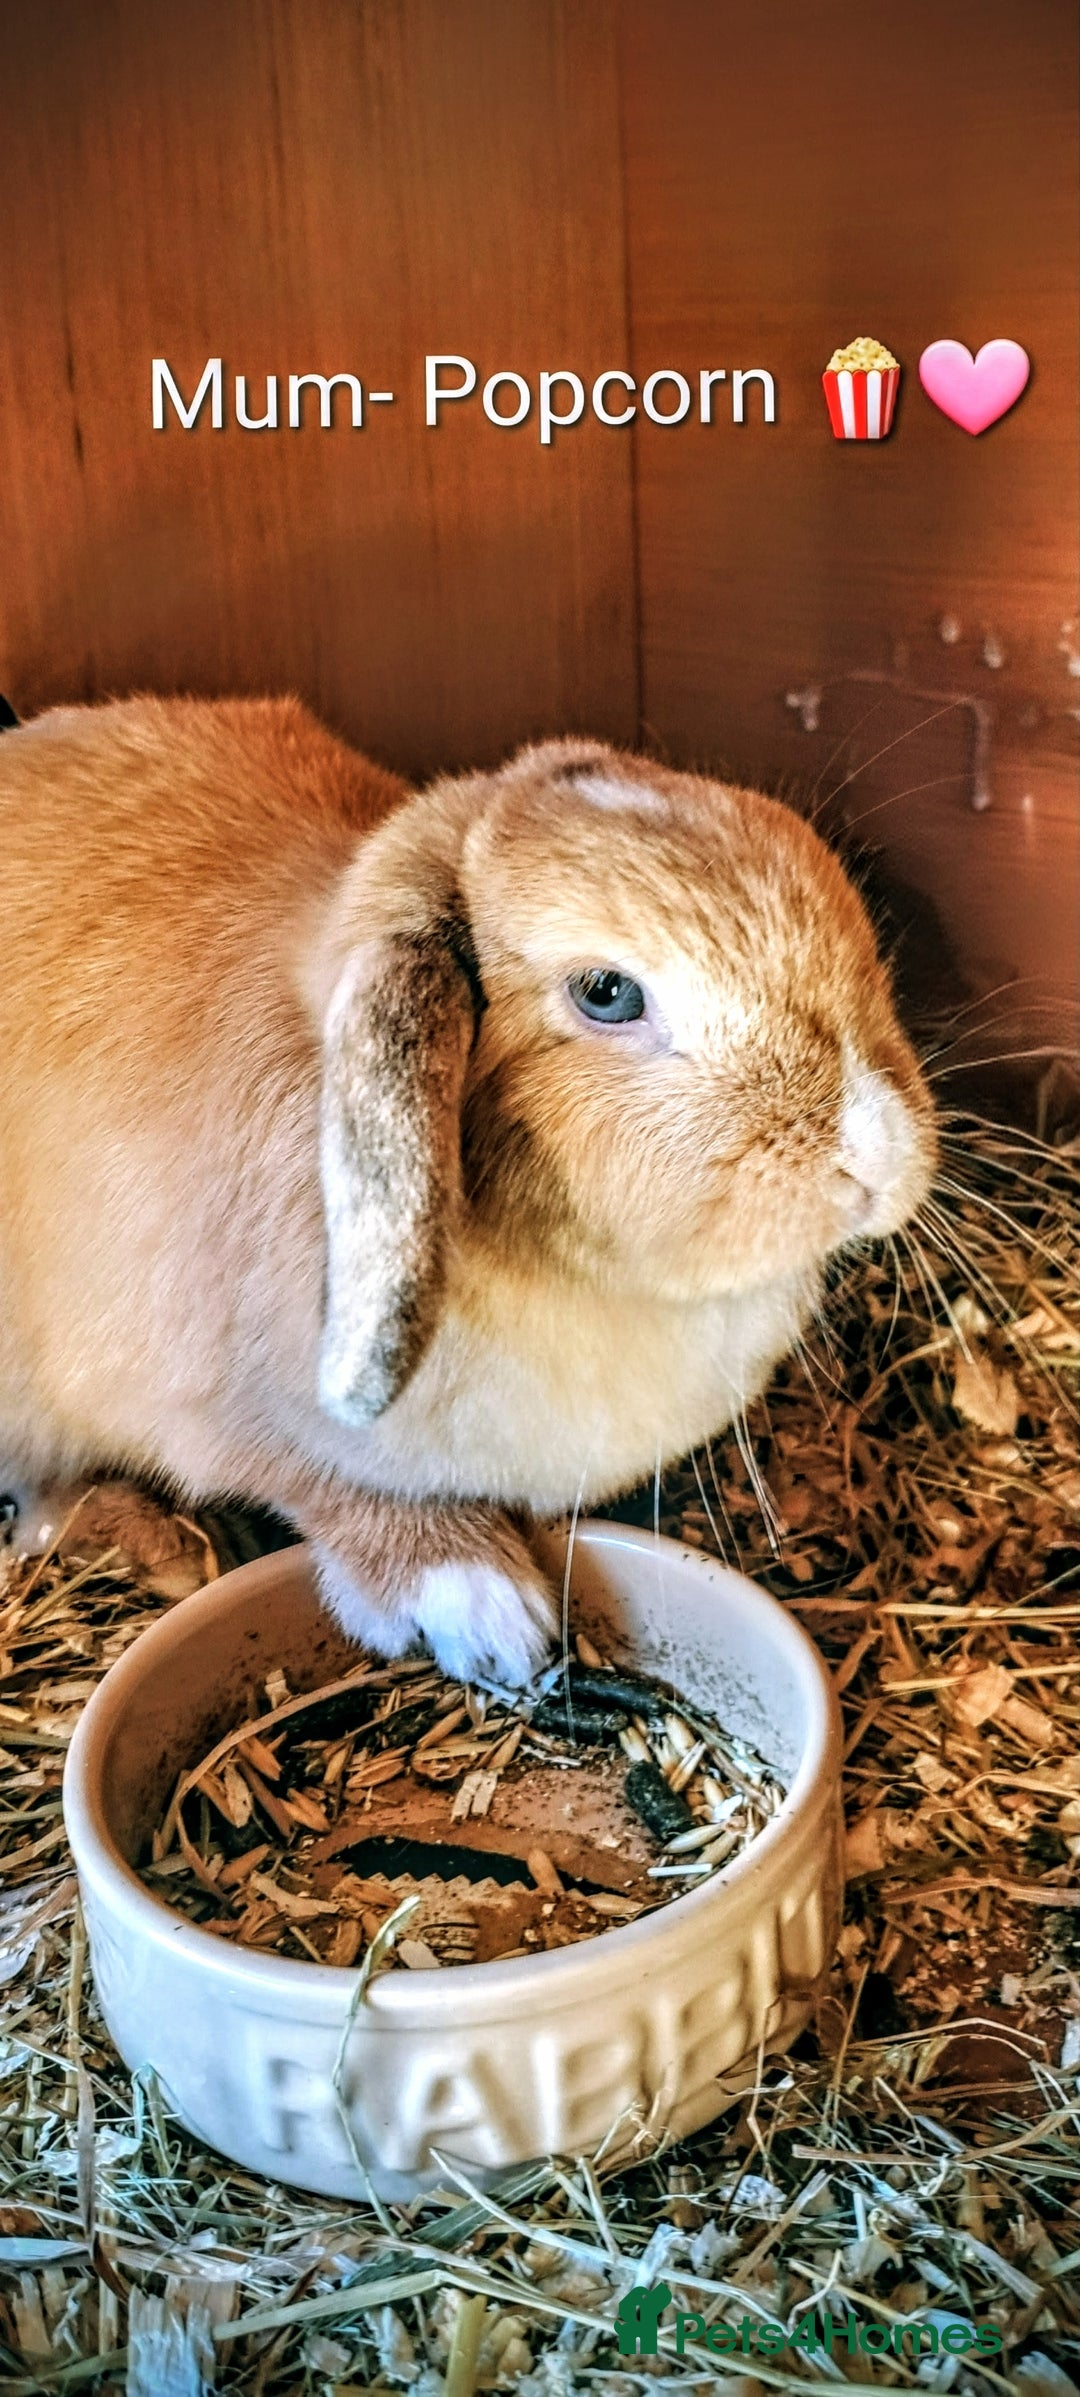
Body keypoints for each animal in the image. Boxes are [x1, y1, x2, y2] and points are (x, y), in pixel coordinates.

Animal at [0, 695, 935, 1683]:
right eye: (607, 993)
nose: (879, 1153)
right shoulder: (217, 1419)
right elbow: (325, 1485)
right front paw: (487, 1606)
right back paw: (167, 1546)